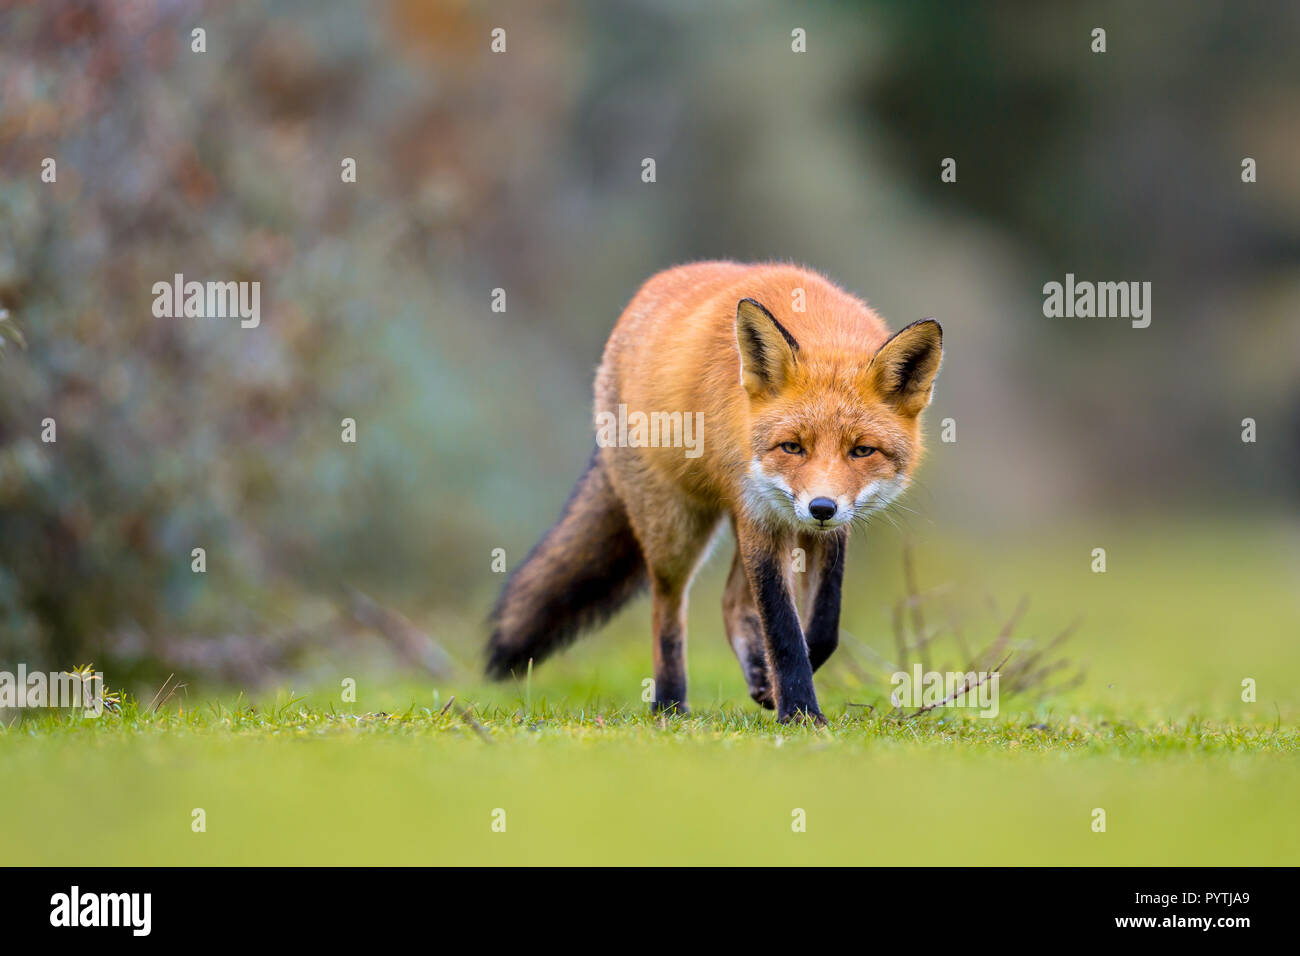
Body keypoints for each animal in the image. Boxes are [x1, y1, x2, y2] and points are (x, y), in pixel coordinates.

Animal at [488, 261, 946, 723]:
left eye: (862, 451)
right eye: (792, 447)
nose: (821, 507)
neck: (822, 328)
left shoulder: (824, 529)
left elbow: (823, 626)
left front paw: (779, 686)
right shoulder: (759, 514)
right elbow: (782, 629)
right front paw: (799, 711)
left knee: (731, 603)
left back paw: (754, 678)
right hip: (676, 528)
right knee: (667, 606)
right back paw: (669, 703)